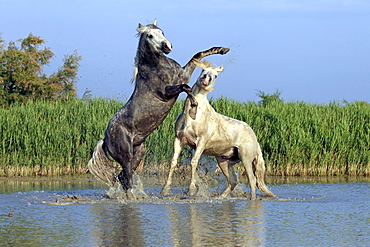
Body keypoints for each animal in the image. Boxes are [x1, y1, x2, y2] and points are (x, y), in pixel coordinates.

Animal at [88, 19, 230, 199]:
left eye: (162, 32)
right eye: (150, 35)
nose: (167, 46)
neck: (156, 66)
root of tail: (105, 140)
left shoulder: (183, 74)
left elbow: (197, 55)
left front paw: (222, 49)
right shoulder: (167, 91)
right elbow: (186, 87)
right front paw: (193, 105)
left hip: (139, 152)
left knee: (122, 177)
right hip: (126, 155)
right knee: (126, 178)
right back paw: (132, 197)